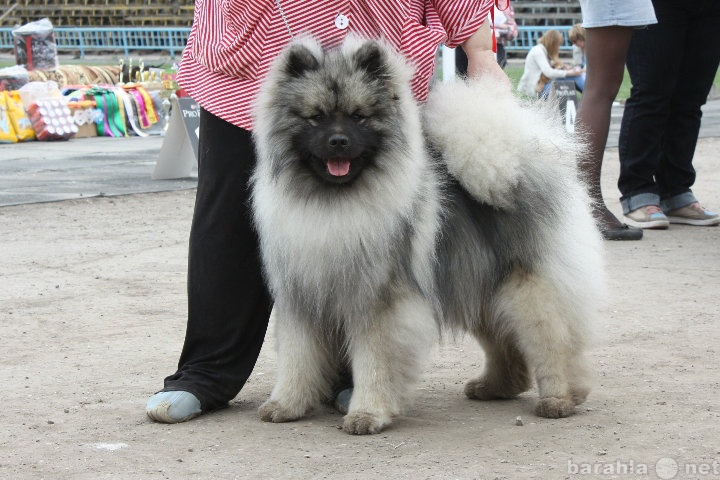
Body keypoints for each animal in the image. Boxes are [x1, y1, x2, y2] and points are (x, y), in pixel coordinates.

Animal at [250, 36, 604, 436]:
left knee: (554, 342)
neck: (334, 203)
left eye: (359, 116)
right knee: (504, 342)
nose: (338, 141)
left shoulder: (379, 303)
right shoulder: (301, 298)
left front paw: (366, 413)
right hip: (479, 285)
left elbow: (373, 362)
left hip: (527, 291)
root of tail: (522, 165)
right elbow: (297, 359)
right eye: (316, 117)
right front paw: (285, 404)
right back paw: (494, 386)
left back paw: (559, 399)